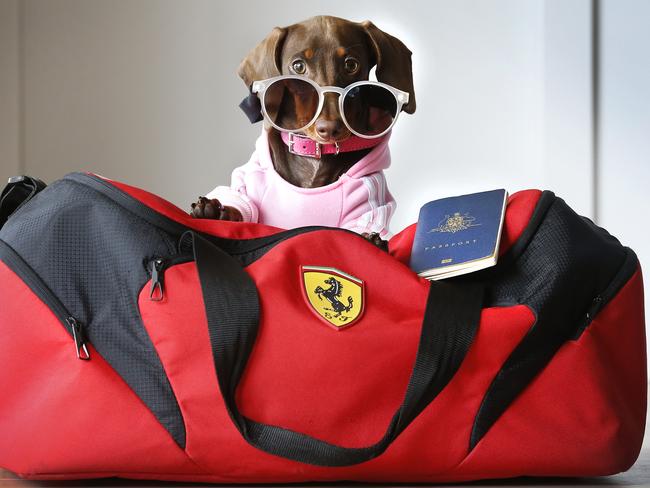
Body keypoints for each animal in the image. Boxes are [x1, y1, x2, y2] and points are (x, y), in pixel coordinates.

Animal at [192, 16, 416, 248]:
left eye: (351, 64)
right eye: (298, 66)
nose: (330, 129)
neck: (313, 155)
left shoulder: (368, 204)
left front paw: (372, 239)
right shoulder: (248, 183)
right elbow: (242, 205)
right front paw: (216, 210)